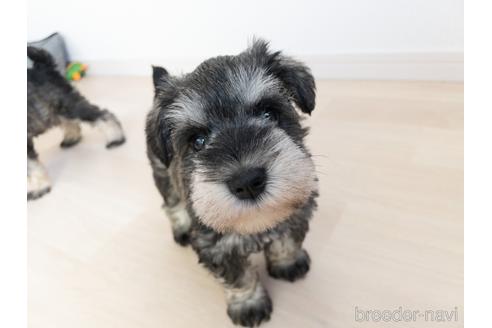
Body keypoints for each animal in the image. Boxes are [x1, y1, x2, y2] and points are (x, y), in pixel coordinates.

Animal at [27, 46, 125, 200]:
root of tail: (43, 66)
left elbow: (30, 167)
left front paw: (38, 187)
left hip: (69, 104)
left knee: (102, 115)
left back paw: (115, 137)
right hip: (56, 108)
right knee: (70, 123)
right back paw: (71, 138)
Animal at [145, 39, 320, 326]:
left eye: (269, 114)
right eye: (198, 141)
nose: (247, 181)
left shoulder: (295, 213)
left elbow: (287, 240)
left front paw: (287, 263)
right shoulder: (218, 249)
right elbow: (240, 279)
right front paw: (249, 304)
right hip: (162, 175)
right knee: (171, 204)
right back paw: (181, 228)